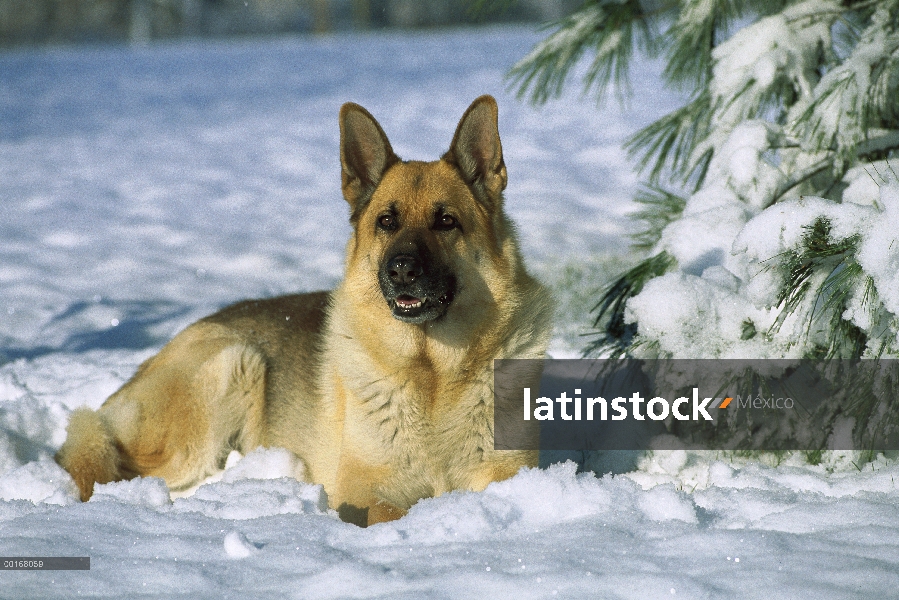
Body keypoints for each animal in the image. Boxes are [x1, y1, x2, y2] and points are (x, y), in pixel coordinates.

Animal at [56, 95, 552, 524]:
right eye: (386, 222)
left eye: (446, 221)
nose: (401, 270)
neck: (433, 375)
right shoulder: (363, 490)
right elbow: (387, 513)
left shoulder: (505, 478)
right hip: (231, 368)